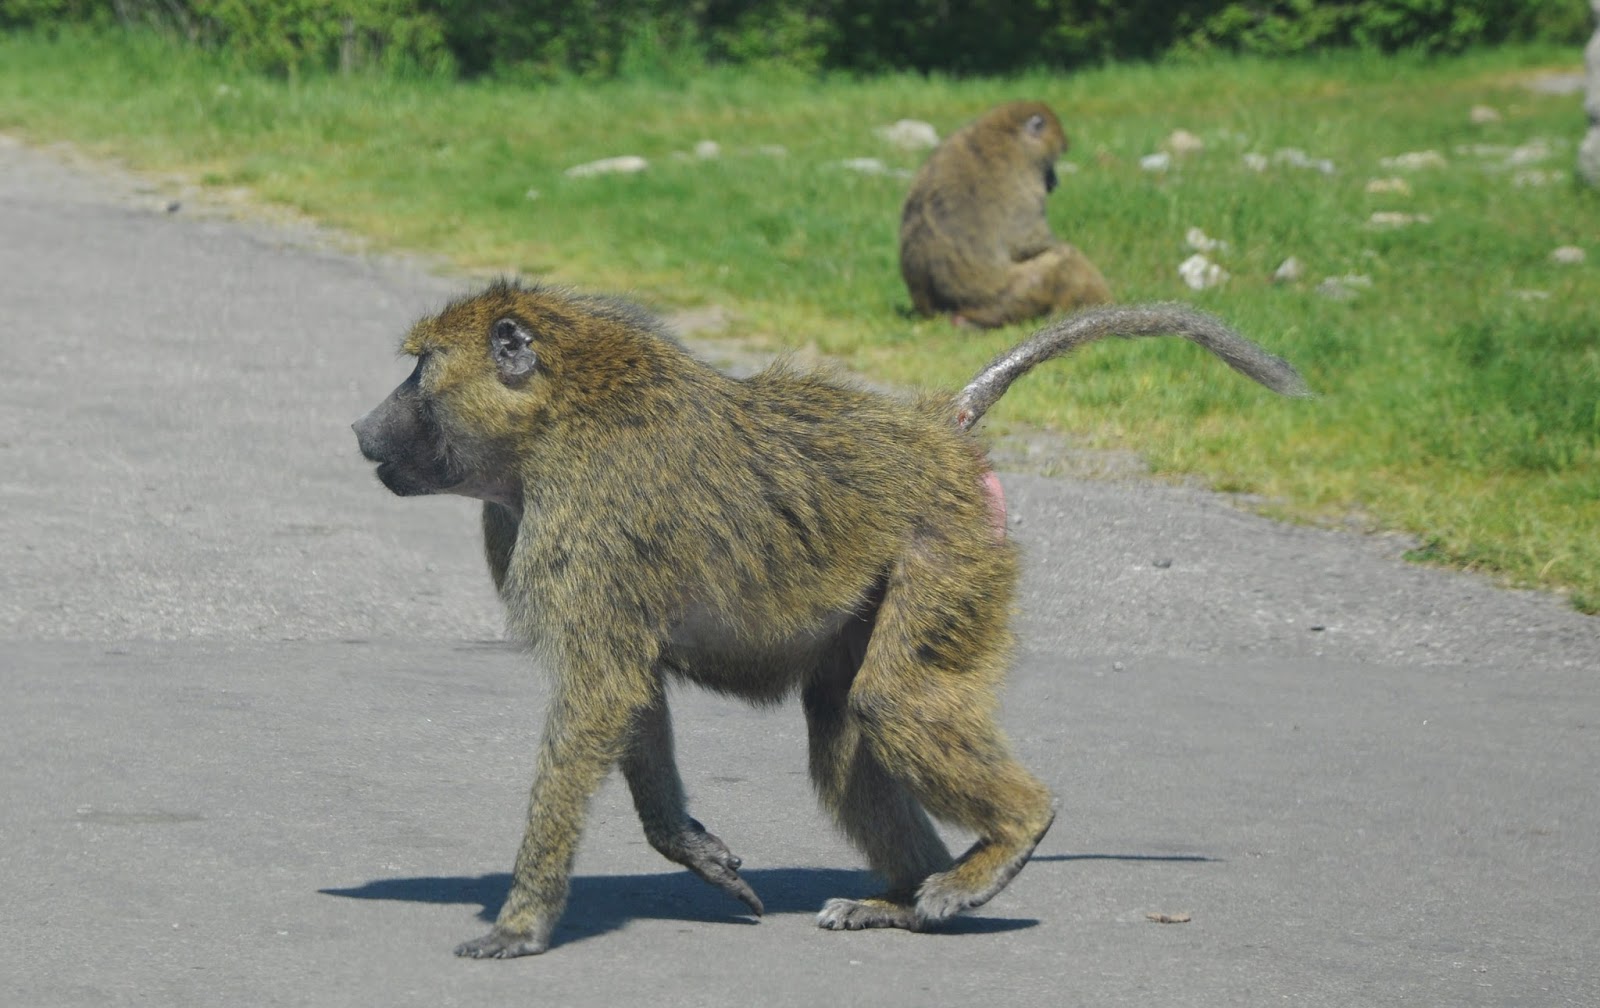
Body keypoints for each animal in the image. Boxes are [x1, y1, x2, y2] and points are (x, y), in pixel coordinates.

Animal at [352, 280, 1309, 958]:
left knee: (893, 702)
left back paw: (1007, 841)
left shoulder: (584, 521)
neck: (554, 418)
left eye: (419, 369)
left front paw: (522, 924)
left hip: (948, 551)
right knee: (846, 722)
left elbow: (597, 696)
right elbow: (632, 691)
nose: (362, 430)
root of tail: (935, 431)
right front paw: (690, 848)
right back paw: (909, 899)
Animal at [899, 100, 1113, 328]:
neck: (1004, 134)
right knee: (1062, 260)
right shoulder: (1022, 182)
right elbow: (1029, 243)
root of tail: (941, 311)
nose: (1055, 182)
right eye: (1052, 161)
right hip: (1008, 298)